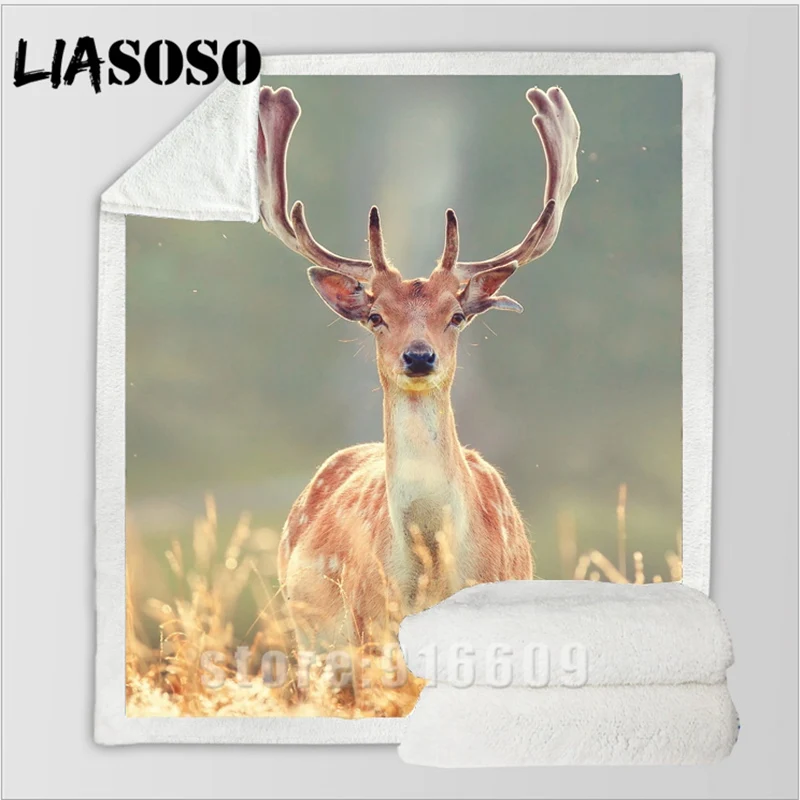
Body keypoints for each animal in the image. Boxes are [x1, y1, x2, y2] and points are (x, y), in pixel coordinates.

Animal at [257, 84, 580, 654]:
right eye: (376, 317)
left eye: (456, 315)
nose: (419, 355)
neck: (431, 570)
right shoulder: (370, 627)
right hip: (309, 638)